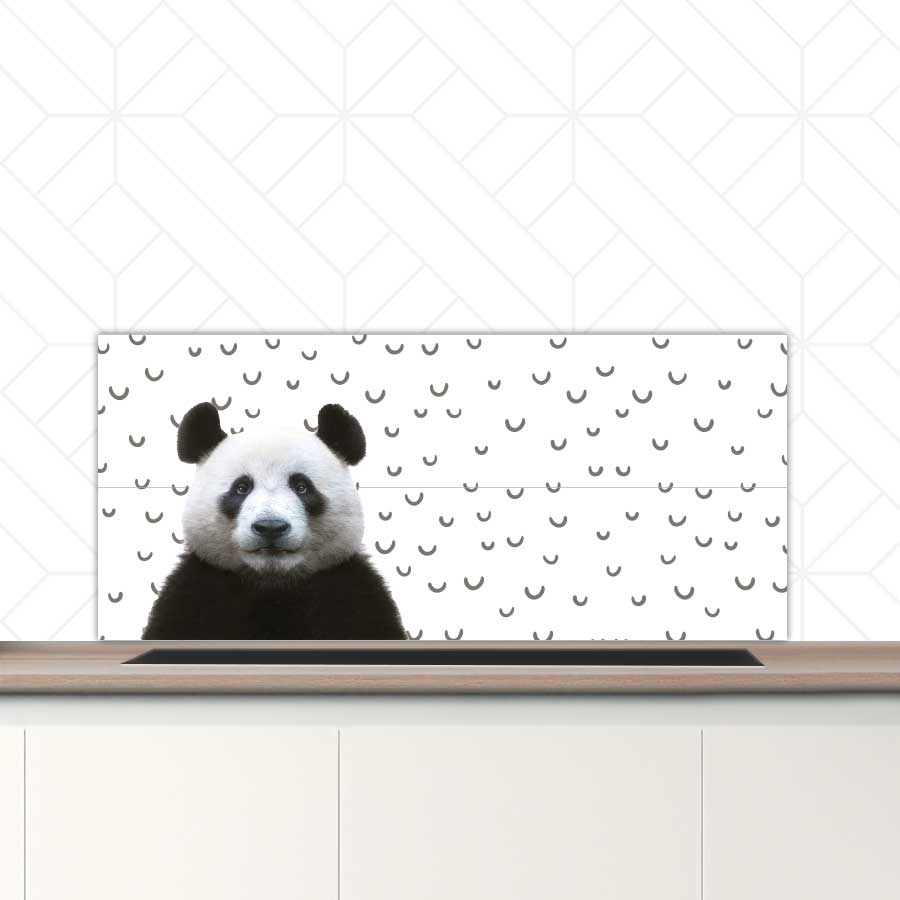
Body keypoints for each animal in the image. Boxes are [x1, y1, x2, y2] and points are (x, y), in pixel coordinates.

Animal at [142, 401, 406, 640]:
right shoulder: (195, 592)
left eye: (302, 487)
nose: (270, 527)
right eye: (241, 487)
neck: (272, 585)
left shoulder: (351, 592)